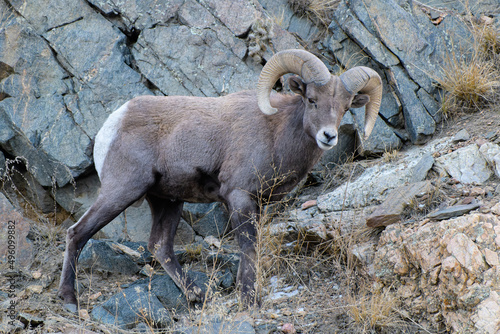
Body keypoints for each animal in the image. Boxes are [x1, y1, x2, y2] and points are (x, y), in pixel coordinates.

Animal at [58, 49, 382, 310]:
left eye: (345, 107)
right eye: (312, 100)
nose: (329, 136)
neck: (276, 132)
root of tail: (112, 124)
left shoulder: (257, 204)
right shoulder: (239, 196)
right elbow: (248, 247)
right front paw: (250, 302)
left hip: (167, 201)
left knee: (160, 246)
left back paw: (198, 296)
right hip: (122, 191)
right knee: (78, 233)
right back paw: (69, 301)